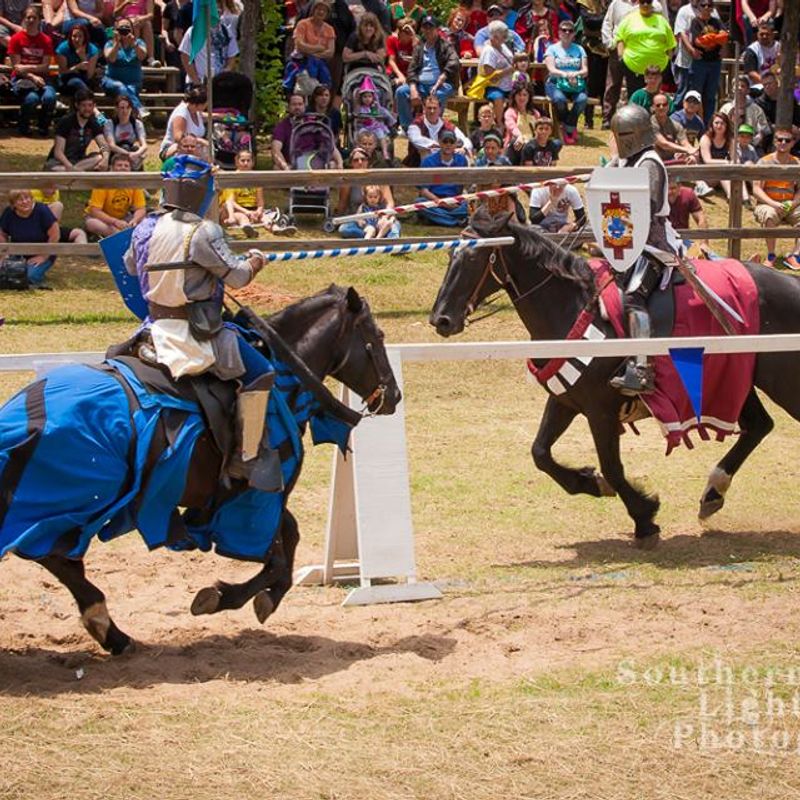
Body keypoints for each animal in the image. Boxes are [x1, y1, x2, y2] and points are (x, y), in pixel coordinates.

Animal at [0, 284, 400, 652]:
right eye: (377, 336)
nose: (394, 396)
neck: (283, 376)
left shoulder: (247, 500)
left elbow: (288, 541)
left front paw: (253, 597)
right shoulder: (257, 497)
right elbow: (279, 555)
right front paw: (229, 596)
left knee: (57, 558)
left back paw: (108, 629)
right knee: (52, 554)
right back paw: (108, 627)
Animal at [432, 209, 800, 544]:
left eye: (475, 256)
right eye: (452, 254)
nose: (441, 319)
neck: (573, 306)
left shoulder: (601, 411)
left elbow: (611, 466)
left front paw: (644, 515)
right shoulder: (566, 399)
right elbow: (540, 453)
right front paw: (589, 482)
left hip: (781, 380)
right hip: (735, 378)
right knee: (759, 426)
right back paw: (713, 492)